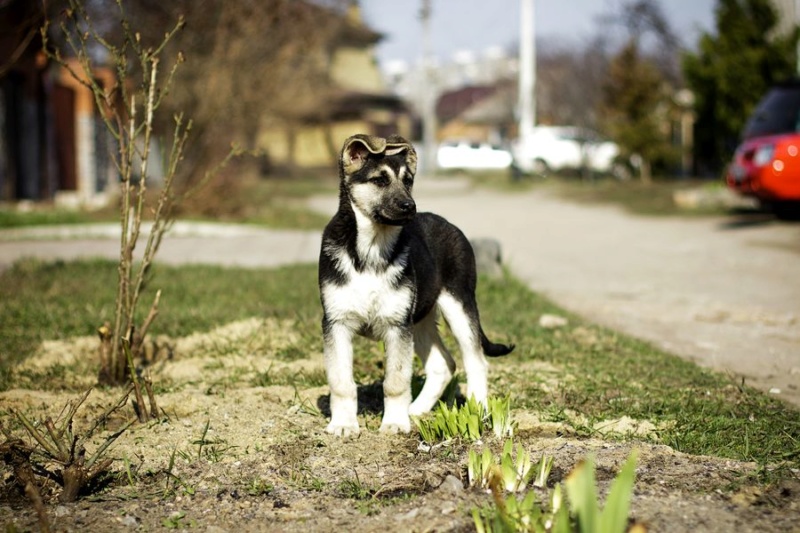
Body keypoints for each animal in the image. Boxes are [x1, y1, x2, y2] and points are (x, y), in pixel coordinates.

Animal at [318, 134, 512, 436]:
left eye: (408, 180)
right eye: (380, 180)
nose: (410, 206)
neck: (371, 249)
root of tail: (449, 224)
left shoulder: (397, 326)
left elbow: (396, 382)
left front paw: (395, 423)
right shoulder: (337, 323)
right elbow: (341, 382)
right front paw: (343, 425)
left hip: (458, 305)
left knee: (476, 361)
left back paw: (477, 412)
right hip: (421, 318)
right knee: (443, 365)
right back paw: (417, 410)